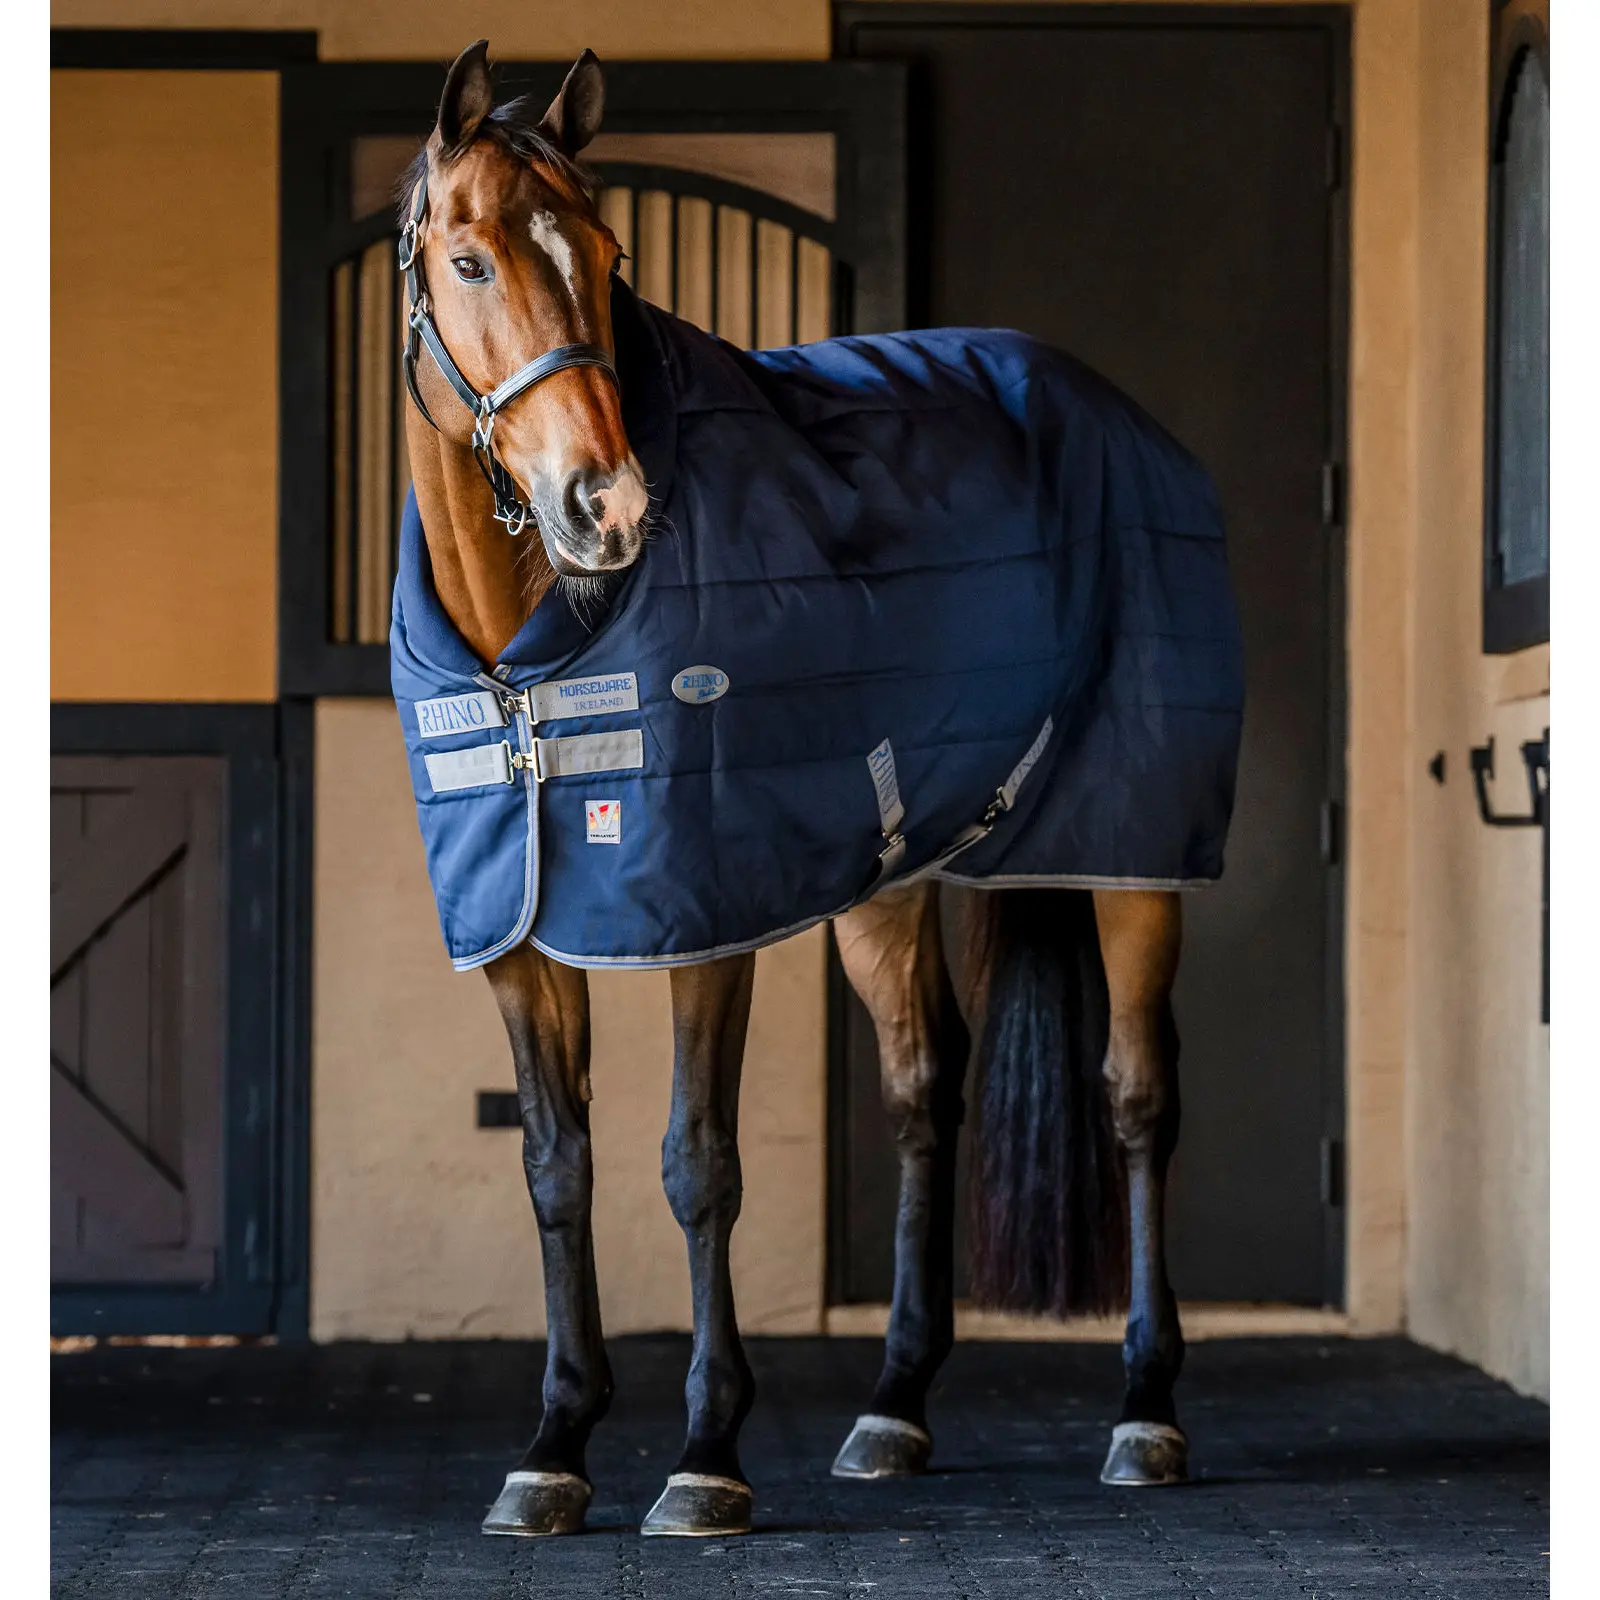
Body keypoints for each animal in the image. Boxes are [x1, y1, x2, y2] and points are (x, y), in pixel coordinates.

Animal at [392, 40, 1242, 1539]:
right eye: (474, 259)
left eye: (607, 254)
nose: (605, 506)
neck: (528, 663)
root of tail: (1114, 412)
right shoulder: (518, 932)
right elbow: (557, 1166)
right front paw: (554, 1441)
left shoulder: (701, 921)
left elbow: (696, 1165)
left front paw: (704, 1455)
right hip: (892, 883)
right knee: (921, 1090)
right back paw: (894, 1405)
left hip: (1134, 854)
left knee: (1139, 1094)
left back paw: (1147, 1410)